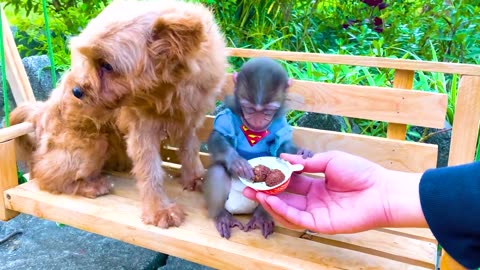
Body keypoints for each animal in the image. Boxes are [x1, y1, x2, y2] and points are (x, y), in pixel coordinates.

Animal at [10, 0, 229, 228]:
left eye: (107, 65)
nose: (76, 91)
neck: (168, 92)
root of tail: (41, 113)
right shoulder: (142, 131)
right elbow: (150, 171)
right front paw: (160, 210)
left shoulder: (189, 121)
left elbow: (190, 151)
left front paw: (196, 179)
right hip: (94, 144)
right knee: (44, 174)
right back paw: (92, 186)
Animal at [204, 56, 314, 238]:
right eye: (249, 108)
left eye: (268, 111)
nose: (257, 120)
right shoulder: (227, 114)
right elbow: (218, 137)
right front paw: (235, 161)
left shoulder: (281, 124)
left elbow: (281, 148)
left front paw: (301, 153)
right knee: (218, 171)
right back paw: (221, 216)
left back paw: (261, 216)